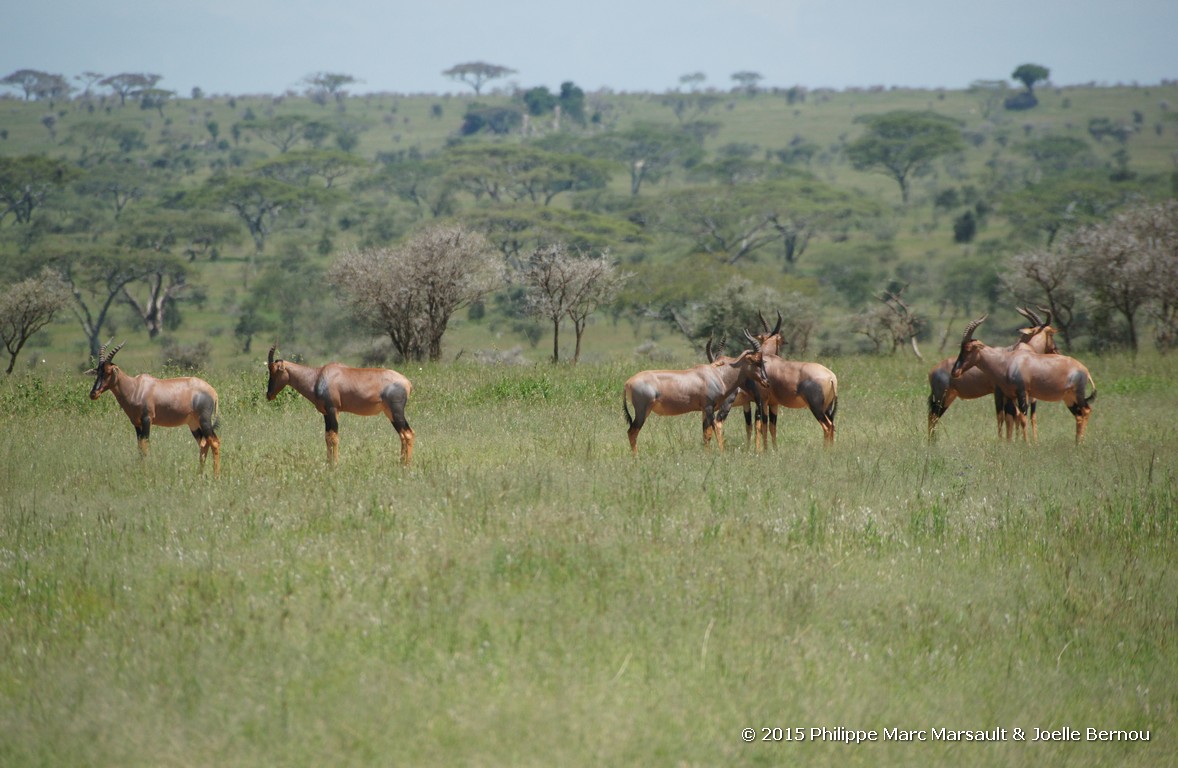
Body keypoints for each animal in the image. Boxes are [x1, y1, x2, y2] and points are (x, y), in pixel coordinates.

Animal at [85, 341, 221, 473]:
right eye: (98, 371)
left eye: (108, 372)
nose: (93, 394)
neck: (136, 387)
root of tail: (213, 391)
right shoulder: (137, 423)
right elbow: (139, 447)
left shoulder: (147, 419)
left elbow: (145, 446)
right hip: (193, 424)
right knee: (203, 444)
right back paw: (200, 474)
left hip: (204, 420)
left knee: (214, 442)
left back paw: (216, 476)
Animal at [265, 343, 417, 464]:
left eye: (274, 371)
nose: (269, 395)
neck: (319, 376)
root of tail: (407, 382)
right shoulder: (326, 413)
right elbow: (327, 437)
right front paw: (328, 463)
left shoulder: (333, 410)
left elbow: (334, 437)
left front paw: (335, 465)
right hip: (389, 413)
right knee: (403, 434)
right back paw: (401, 463)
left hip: (396, 411)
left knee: (408, 433)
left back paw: (406, 465)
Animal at [621, 343, 768, 452]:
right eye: (756, 361)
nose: (766, 381)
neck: (716, 375)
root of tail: (627, 383)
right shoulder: (709, 407)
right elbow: (712, 430)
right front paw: (721, 454)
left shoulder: (704, 410)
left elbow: (706, 434)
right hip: (642, 411)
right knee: (632, 432)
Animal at [923, 303, 1064, 438]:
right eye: (1051, 333)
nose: (1056, 351)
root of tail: (932, 371)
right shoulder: (1000, 392)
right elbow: (1006, 417)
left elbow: (1015, 417)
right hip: (941, 397)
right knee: (932, 417)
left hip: (948, 397)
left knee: (933, 417)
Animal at [947, 313, 1093, 442]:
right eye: (961, 347)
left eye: (968, 348)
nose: (955, 372)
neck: (1007, 361)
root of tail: (1084, 369)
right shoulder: (1011, 395)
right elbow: (1014, 416)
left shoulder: (1023, 392)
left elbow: (1022, 418)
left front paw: (1027, 444)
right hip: (1069, 397)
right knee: (1079, 415)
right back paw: (1076, 442)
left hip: (1077, 394)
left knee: (1086, 410)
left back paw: (1080, 443)